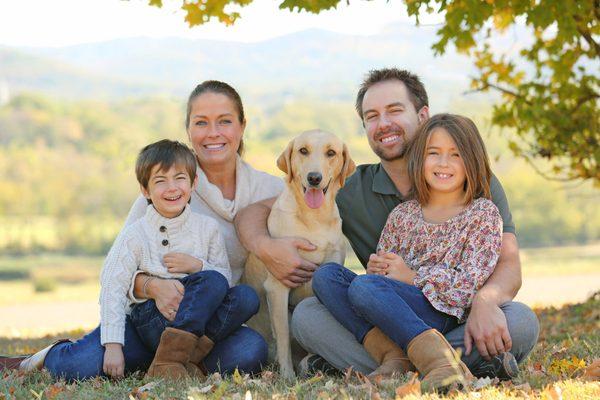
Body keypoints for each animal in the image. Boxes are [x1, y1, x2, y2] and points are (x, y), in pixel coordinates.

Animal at [244, 130, 356, 378]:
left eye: (331, 153)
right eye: (303, 150)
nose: (314, 178)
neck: (314, 218)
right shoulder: (278, 286)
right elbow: (284, 336)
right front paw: (287, 376)